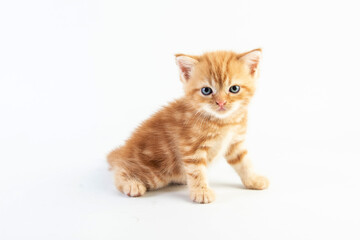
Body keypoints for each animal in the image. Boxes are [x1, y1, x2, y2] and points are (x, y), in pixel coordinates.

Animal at [108, 49, 268, 203]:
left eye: (234, 89)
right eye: (206, 90)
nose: (221, 102)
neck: (223, 122)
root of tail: (122, 152)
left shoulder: (235, 143)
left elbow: (244, 163)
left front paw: (253, 180)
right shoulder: (191, 147)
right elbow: (197, 171)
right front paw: (201, 192)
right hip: (156, 173)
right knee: (120, 170)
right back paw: (131, 184)